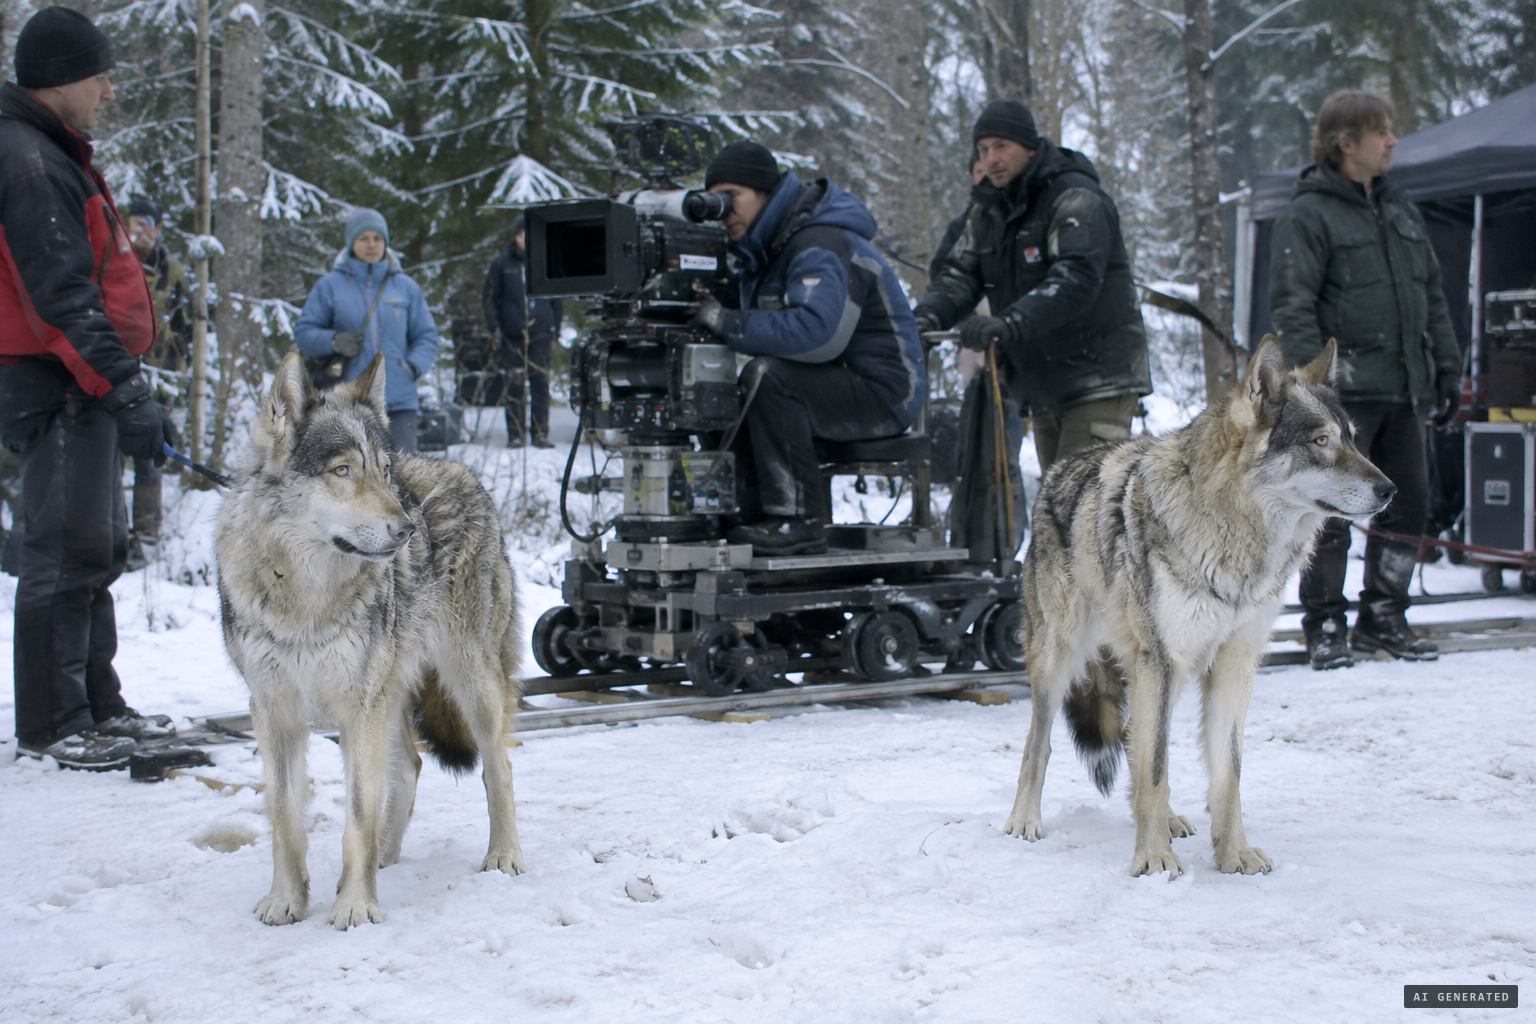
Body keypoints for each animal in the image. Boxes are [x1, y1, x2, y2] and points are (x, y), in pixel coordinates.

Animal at [216, 353, 525, 928]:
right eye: (342, 471)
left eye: (383, 471)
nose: (408, 529)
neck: (305, 599)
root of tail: (467, 475)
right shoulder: (273, 712)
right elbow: (285, 819)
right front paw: (287, 900)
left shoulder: (358, 708)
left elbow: (356, 814)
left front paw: (356, 906)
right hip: (391, 693)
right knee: (410, 765)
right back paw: (386, 854)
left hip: (467, 683)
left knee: (499, 766)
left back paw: (504, 854)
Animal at [1003, 337, 1393, 878]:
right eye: (1319, 441)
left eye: (1353, 440)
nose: (1390, 490)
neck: (1233, 535)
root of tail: (1060, 467)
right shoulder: (1164, 658)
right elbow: (1156, 767)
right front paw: (1153, 859)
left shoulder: (1234, 663)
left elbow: (1226, 772)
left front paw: (1234, 854)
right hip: (1066, 659)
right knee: (1040, 743)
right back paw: (1024, 821)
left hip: (1162, 671)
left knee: (1134, 734)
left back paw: (1167, 819)